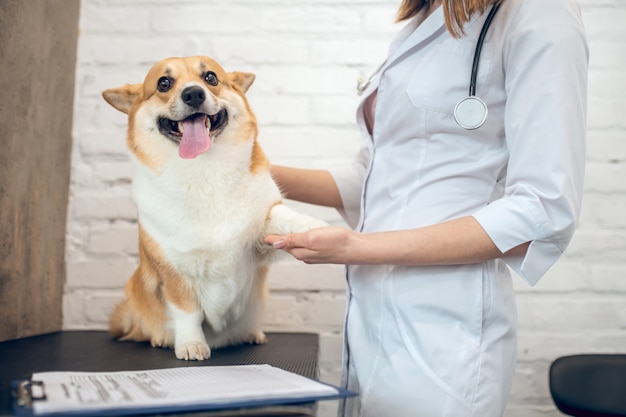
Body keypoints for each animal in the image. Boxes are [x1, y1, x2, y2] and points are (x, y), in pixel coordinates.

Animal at [100, 56, 324, 360]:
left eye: (210, 78)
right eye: (164, 83)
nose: (194, 94)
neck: (204, 172)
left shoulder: (259, 241)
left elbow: (280, 213)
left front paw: (311, 225)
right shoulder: (175, 273)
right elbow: (188, 313)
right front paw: (191, 344)